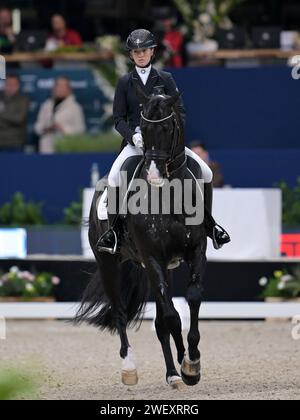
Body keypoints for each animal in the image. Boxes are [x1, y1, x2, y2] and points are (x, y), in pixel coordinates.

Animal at [75, 89, 207, 390]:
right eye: (143, 130)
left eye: (168, 128)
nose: (155, 176)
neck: (171, 197)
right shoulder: (152, 257)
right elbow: (171, 316)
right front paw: (187, 366)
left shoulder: (195, 251)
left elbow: (190, 300)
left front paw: (191, 365)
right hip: (110, 264)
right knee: (121, 312)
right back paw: (130, 368)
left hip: (159, 268)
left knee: (160, 322)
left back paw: (173, 373)